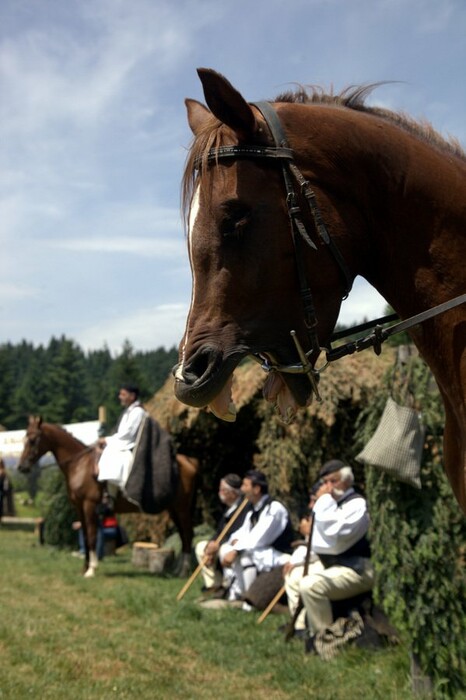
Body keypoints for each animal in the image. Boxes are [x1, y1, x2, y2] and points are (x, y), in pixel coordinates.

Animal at [17, 418, 198, 576]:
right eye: (24, 438)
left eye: (32, 440)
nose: (21, 467)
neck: (80, 465)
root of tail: (190, 461)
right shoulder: (79, 508)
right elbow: (84, 535)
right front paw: (85, 568)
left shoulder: (89, 505)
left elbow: (91, 536)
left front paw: (91, 569)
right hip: (173, 510)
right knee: (183, 535)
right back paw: (179, 570)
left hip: (182, 509)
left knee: (188, 534)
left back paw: (183, 571)